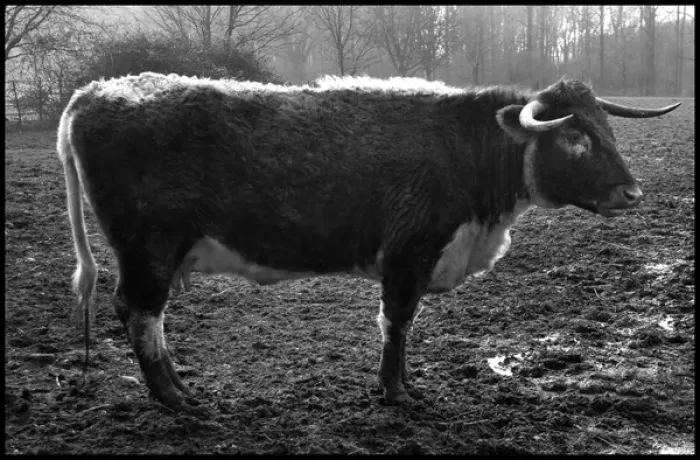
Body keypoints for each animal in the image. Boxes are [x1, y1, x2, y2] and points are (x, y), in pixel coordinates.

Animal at [57, 72, 680, 414]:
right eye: (575, 138)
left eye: (607, 129)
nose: (632, 193)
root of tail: (97, 91)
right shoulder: (408, 254)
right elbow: (396, 323)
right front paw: (394, 392)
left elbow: (400, 327)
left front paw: (400, 386)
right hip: (148, 249)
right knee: (140, 314)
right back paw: (175, 397)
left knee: (144, 317)